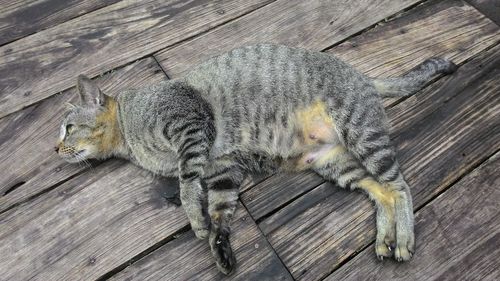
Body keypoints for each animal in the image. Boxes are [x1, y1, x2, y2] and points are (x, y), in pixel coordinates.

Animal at [55, 43, 458, 274]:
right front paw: (219, 245)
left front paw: (196, 221)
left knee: (400, 185)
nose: (55, 149)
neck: (130, 129)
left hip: (362, 135)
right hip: (337, 165)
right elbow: (220, 209)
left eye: (67, 128)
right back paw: (384, 238)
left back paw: (403, 238)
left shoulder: (191, 126)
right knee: (381, 191)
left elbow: (188, 186)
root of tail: (364, 76)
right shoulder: (223, 168)